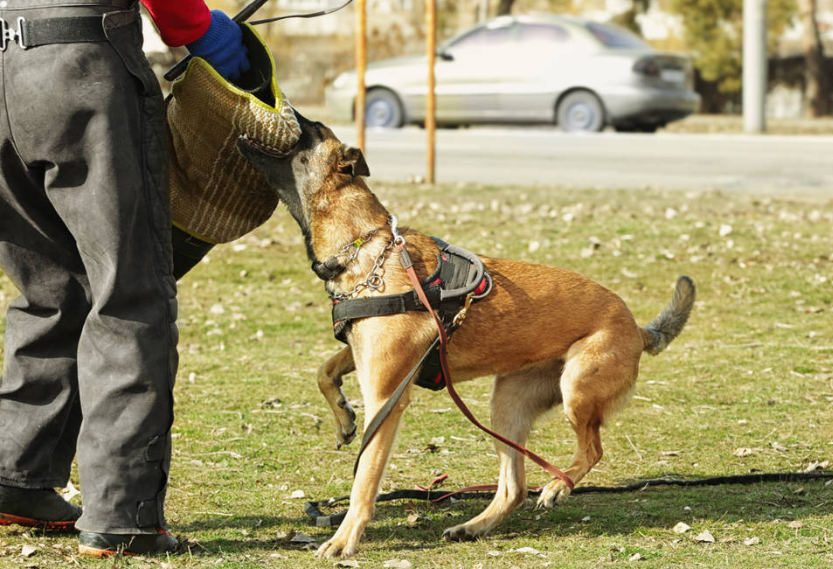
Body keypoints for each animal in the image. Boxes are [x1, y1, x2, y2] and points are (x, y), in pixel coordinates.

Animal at [236, 113, 696, 556]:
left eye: (310, 129)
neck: (364, 248)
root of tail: (636, 328)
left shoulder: (386, 396)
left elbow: (364, 477)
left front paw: (344, 539)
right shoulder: (367, 357)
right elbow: (325, 370)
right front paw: (343, 417)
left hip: (576, 388)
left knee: (591, 449)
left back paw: (556, 486)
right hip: (507, 405)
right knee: (513, 487)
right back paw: (474, 526)